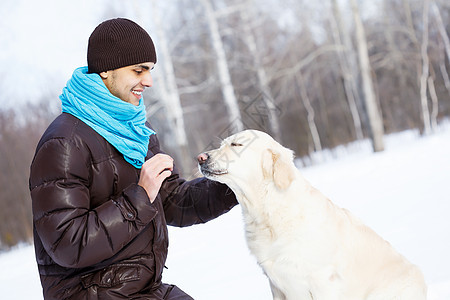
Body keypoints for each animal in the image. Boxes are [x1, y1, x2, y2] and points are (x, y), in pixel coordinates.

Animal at [199, 130, 428, 300]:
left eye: (236, 145)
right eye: (223, 144)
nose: (201, 157)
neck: (269, 213)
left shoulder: (323, 280)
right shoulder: (276, 284)